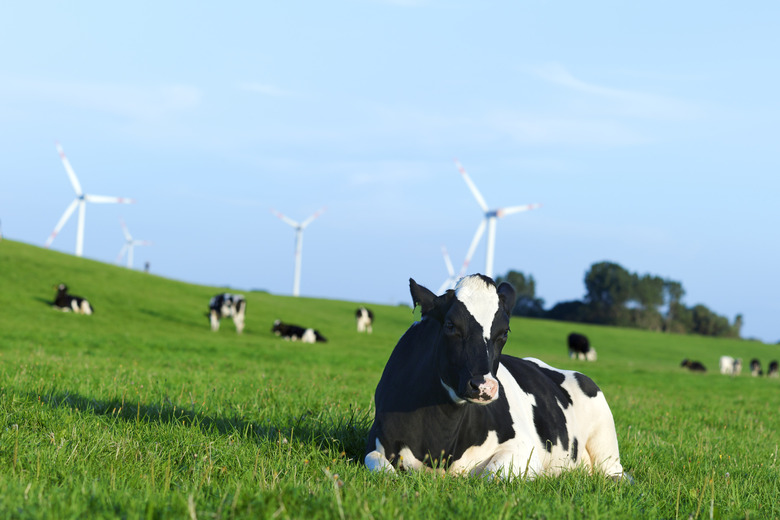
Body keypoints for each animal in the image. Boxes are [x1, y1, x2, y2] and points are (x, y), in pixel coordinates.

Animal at [366, 274, 628, 482]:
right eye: (450, 325)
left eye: (504, 332)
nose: (484, 387)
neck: (439, 438)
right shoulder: (376, 442)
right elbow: (380, 468)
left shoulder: (524, 449)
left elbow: (491, 476)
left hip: (607, 448)